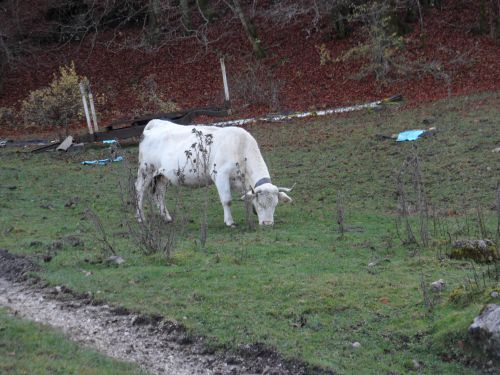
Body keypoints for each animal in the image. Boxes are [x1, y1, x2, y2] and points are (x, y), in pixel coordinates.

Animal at [137, 120, 292, 226]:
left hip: (162, 175)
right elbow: (227, 200)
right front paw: (230, 222)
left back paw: (166, 217)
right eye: (260, 204)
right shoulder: (220, 175)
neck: (240, 149)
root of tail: (156, 124)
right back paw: (140, 218)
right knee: (139, 191)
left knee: (159, 194)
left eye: (275, 204)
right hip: (146, 170)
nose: (268, 223)